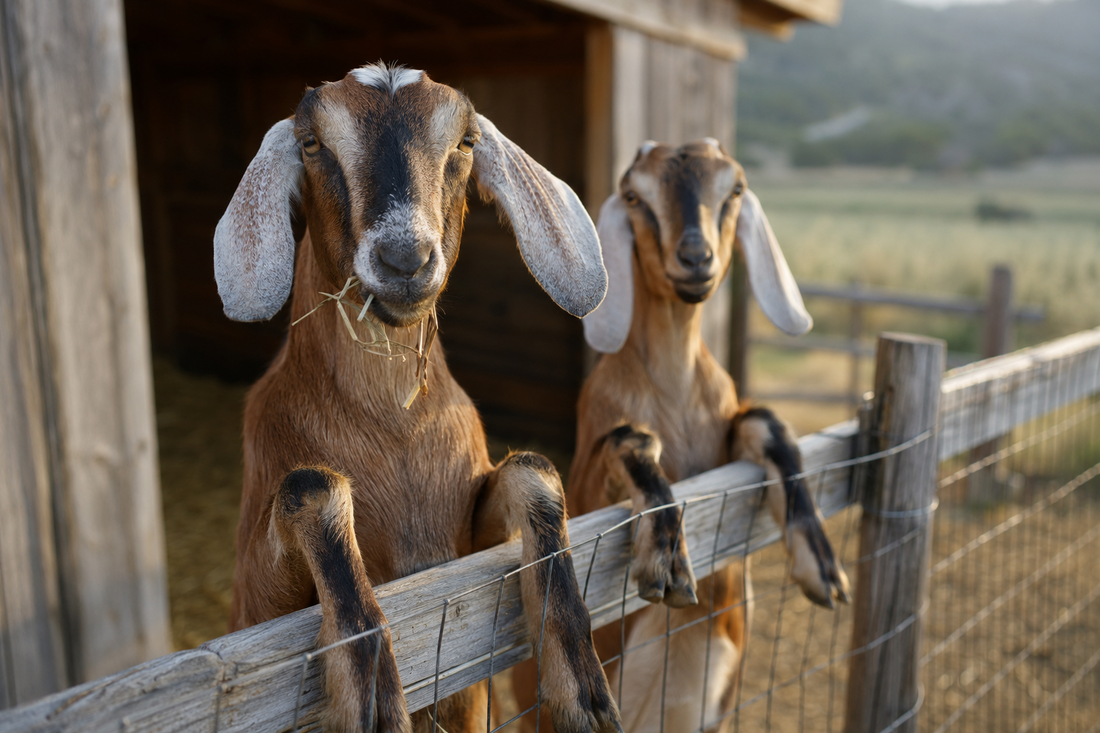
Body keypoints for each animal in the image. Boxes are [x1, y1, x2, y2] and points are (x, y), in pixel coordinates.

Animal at [214, 63, 621, 733]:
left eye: (465, 141)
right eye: (312, 143)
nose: (405, 258)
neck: (396, 427)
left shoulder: (467, 555)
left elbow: (533, 469)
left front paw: (583, 691)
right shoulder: (254, 613)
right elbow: (313, 484)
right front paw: (375, 698)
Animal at [514, 139, 850, 733]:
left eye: (734, 188)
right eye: (633, 196)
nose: (695, 258)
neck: (674, 394)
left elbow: (765, 422)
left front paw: (822, 564)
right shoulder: (589, 484)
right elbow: (630, 440)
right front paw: (666, 557)